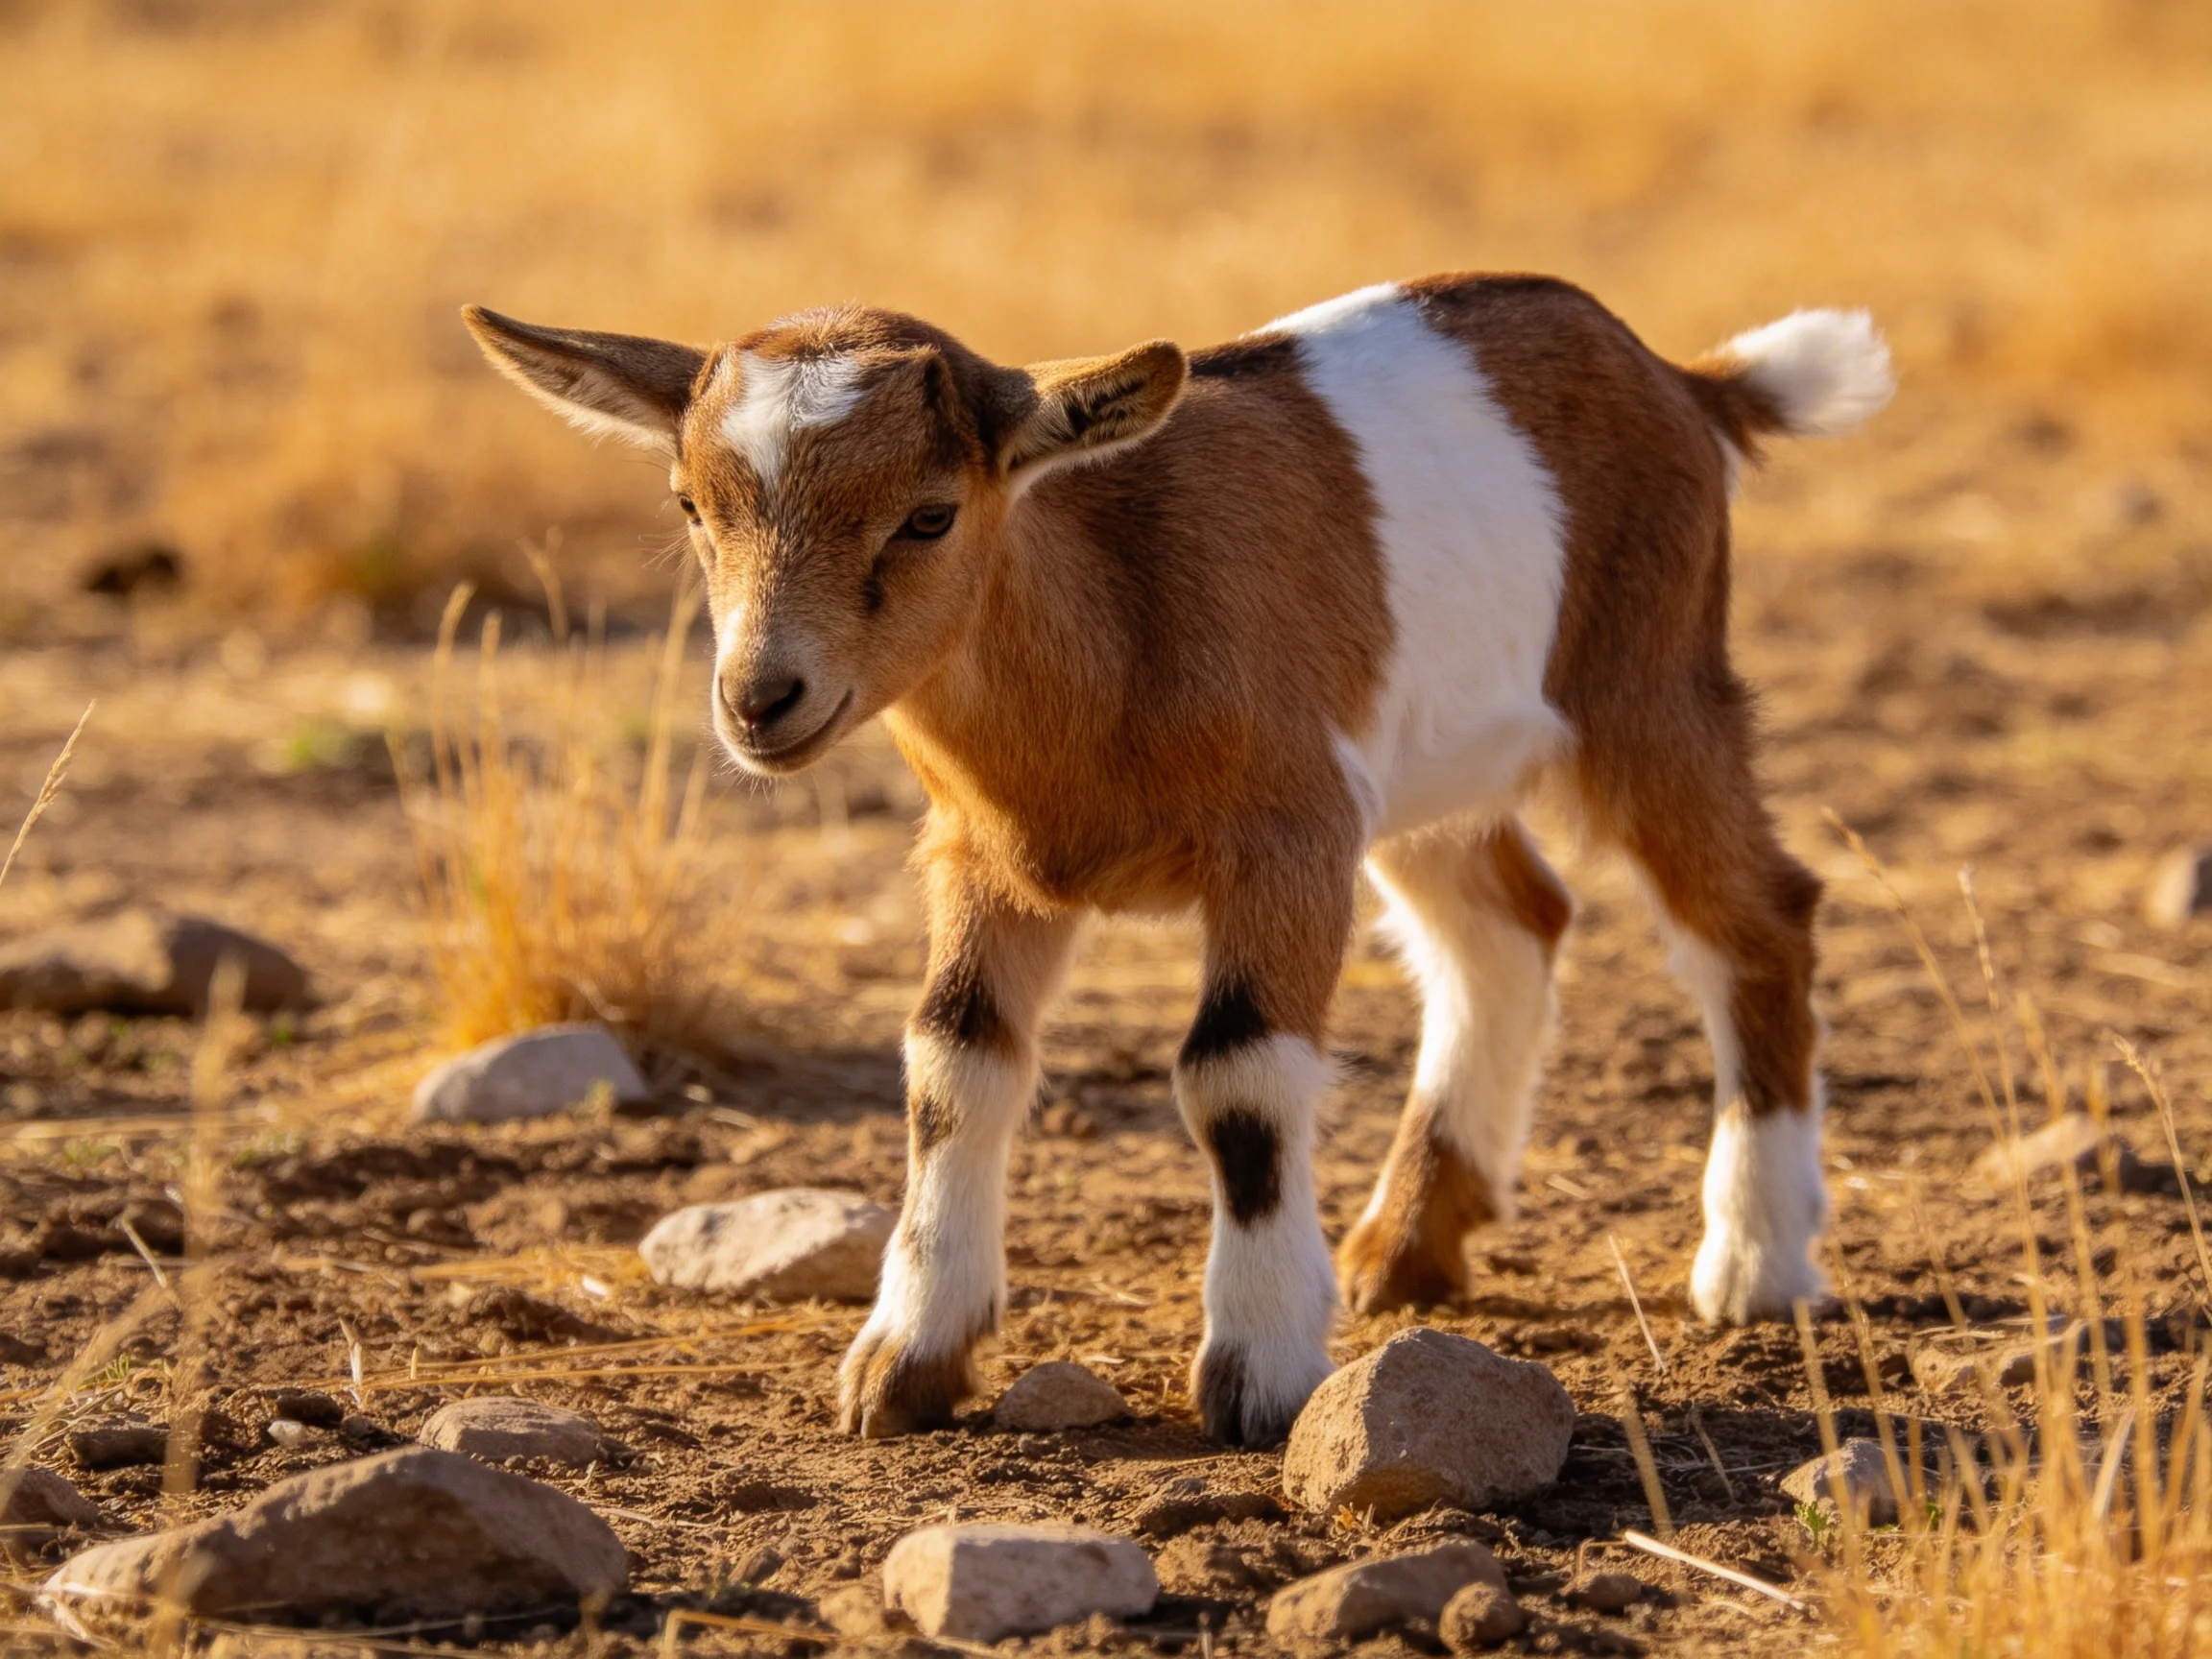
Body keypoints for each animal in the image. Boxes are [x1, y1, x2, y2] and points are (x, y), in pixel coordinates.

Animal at [466, 274, 1892, 1445]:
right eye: (690, 506)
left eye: (928, 516)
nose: (763, 699)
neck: (1113, 623)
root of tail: (1687, 382)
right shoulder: (988, 864)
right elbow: (951, 1064)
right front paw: (908, 1360)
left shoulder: (1286, 836)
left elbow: (1238, 1077)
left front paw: (1258, 1370)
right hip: (1424, 771)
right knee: (1509, 927)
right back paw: (1409, 1245)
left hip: (1646, 687)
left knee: (1755, 914)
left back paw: (1756, 1264)